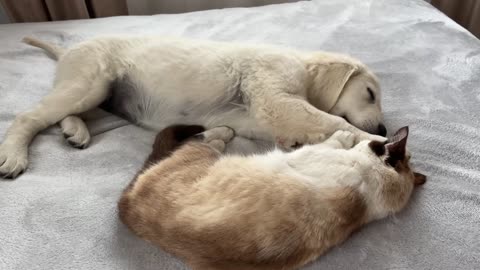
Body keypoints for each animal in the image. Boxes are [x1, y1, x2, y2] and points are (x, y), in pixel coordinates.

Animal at [0, 36, 386, 179]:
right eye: (369, 93)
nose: (383, 127)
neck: (303, 69)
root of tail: (67, 50)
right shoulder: (276, 100)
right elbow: (336, 122)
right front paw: (374, 140)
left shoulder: (254, 116)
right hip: (89, 84)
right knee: (28, 117)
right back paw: (13, 155)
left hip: (93, 93)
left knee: (63, 113)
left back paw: (74, 130)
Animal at [118, 125, 426, 268]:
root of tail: (126, 206)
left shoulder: (307, 154)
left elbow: (332, 140)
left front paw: (344, 136)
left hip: (204, 155)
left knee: (199, 139)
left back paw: (223, 133)